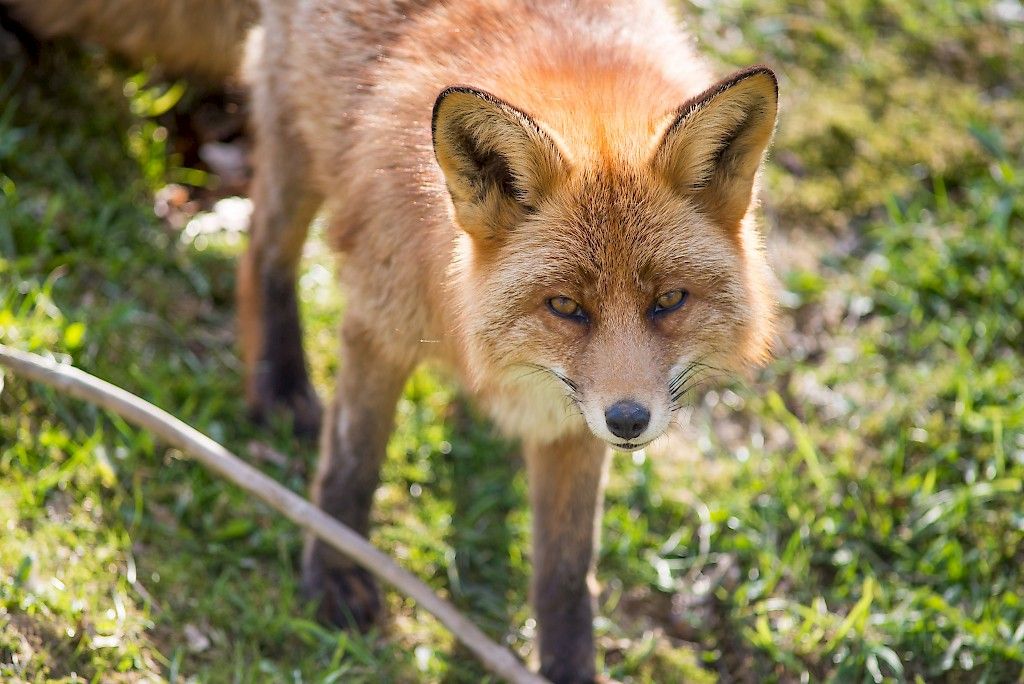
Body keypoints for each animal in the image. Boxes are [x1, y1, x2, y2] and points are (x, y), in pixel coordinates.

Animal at [8, 0, 778, 679]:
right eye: (565, 306)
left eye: (668, 301)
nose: (628, 421)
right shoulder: (379, 320)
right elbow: (352, 465)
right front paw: (334, 575)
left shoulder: (572, 419)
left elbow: (565, 573)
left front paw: (566, 669)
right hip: (296, 133)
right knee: (261, 254)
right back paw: (279, 383)